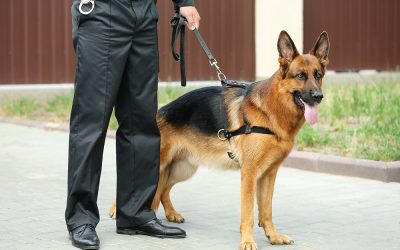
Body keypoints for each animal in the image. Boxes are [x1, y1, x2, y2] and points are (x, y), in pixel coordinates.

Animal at [111, 30, 330, 249]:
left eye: (318, 76)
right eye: (300, 76)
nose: (318, 96)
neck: (270, 110)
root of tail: (160, 111)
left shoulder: (269, 174)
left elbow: (266, 211)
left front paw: (273, 236)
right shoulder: (249, 174)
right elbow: (248, 213)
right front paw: (247, 241)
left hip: (182, 169)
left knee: (163, 189)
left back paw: (171, 214)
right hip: (160, 164)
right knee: (138, 185)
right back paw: (118, 212)